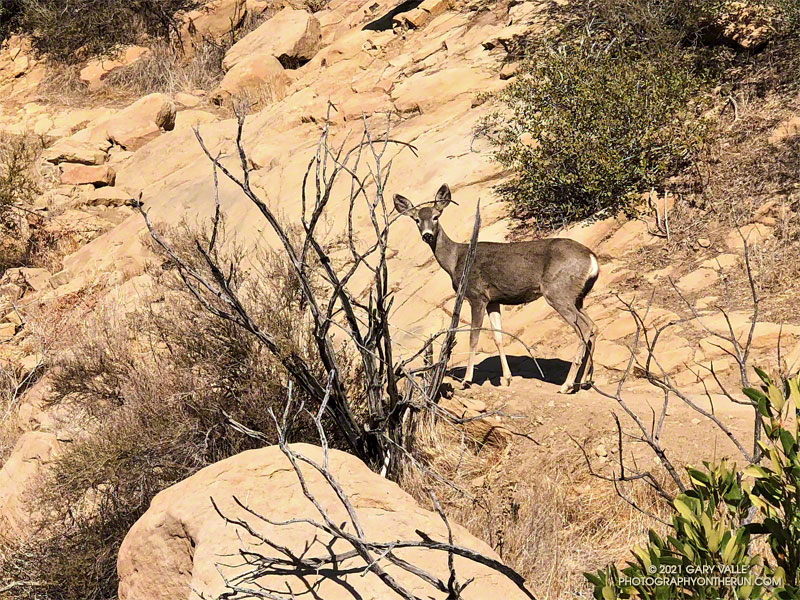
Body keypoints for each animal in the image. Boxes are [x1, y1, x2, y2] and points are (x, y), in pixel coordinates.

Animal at [394, 185, 600, 396]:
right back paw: (583, 381)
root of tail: (592, 258)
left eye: (436, 216)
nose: (427, 235)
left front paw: (466, 380)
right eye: (416, 219)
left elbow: (473, 337)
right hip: (577, 297)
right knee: (593, 326)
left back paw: (566, 385)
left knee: (584, 328)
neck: (455, 260)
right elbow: (498, 337)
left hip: (557, 292)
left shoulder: (476, 295)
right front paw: (507, 378)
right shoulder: (493, 300)